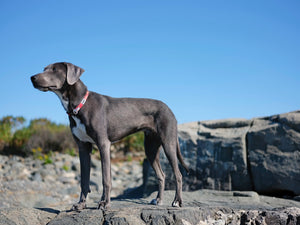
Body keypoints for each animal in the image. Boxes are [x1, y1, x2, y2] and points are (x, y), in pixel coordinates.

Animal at [31, 62, 190, 209]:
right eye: (44, 69)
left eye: (54, 69)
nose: (32, 78)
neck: (80, 105)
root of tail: (169, 109)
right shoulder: (83, 148)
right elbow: (84, 180)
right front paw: (81, 204)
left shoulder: (103, 145)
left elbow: (105, 178)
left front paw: (105, 203)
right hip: (150, 148)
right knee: (161, 175)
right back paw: (158, 200)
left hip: (168, 143)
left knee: (178, 174)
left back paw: (177, 201)